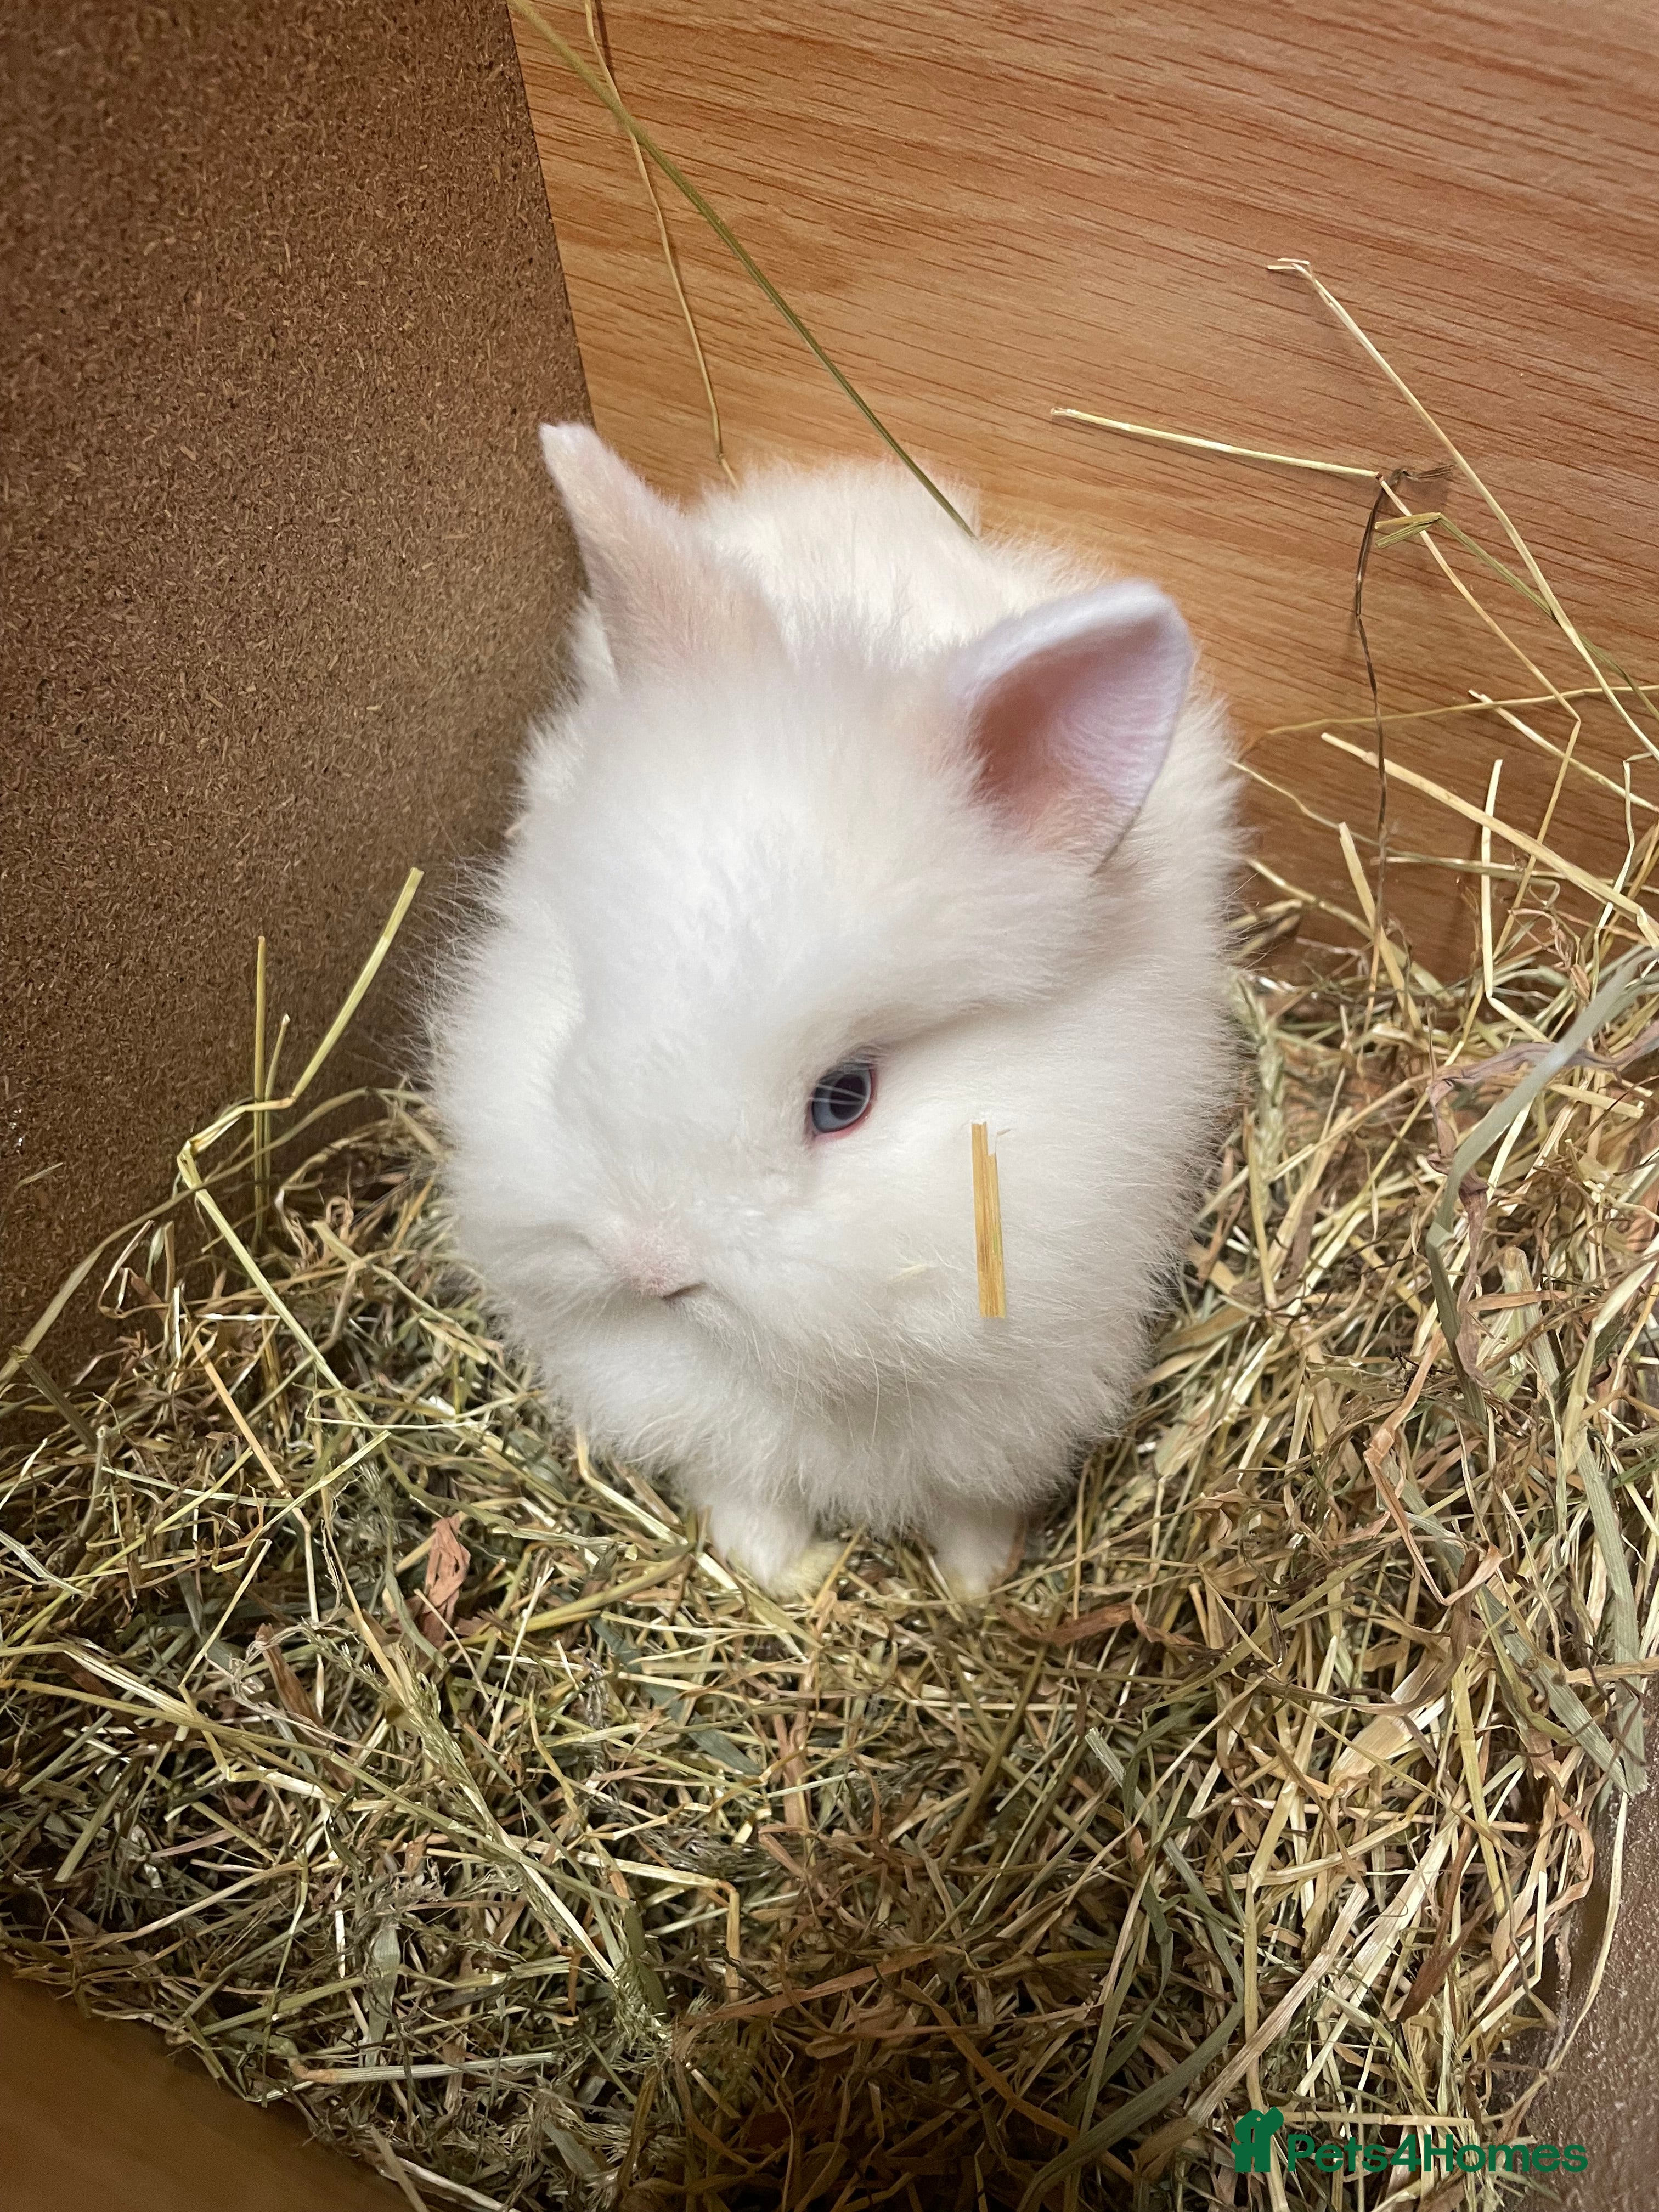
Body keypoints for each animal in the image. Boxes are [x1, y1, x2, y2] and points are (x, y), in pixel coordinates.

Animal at [428, 425, 1239, 1601]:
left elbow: (972, 1513)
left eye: (843, 1097)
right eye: (584, 1013)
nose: (650, 1266)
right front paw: (791, 1577)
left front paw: (973, 1587)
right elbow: (746, 1507)